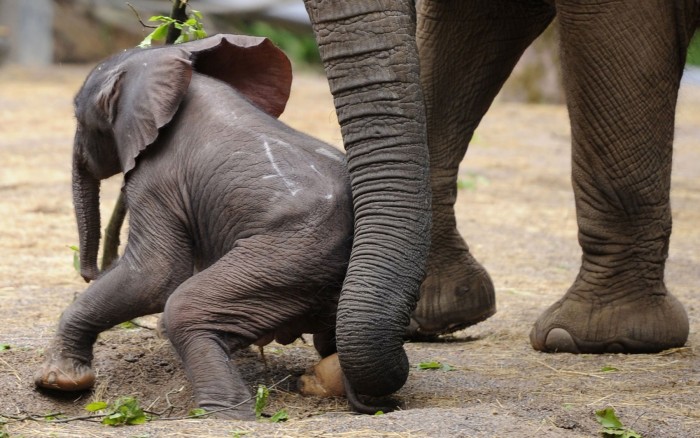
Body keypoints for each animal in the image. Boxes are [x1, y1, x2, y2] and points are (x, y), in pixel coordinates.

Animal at [35, 33, 352, 418]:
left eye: (77, 118)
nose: (91, 272)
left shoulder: (156, 180)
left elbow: (155, 275)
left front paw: (59, 384)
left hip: (289, 255)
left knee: (185, 309)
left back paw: (222, 413)